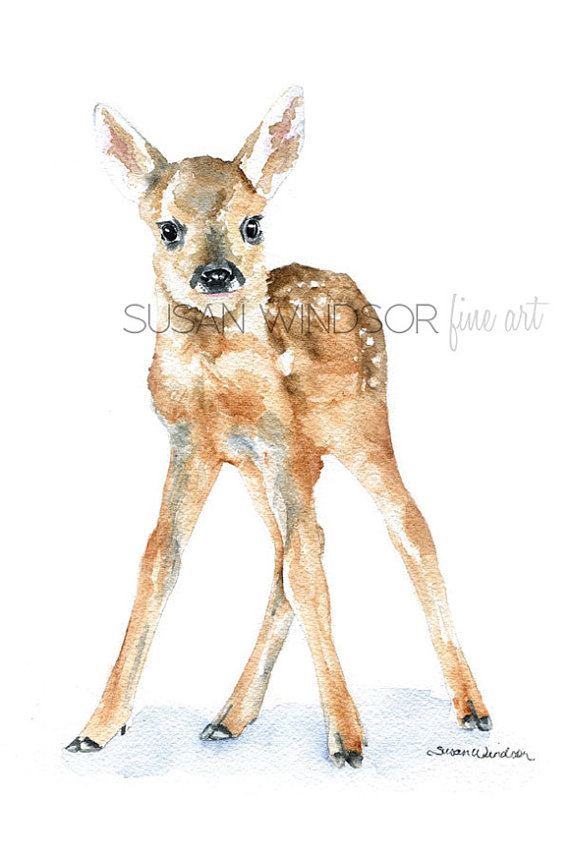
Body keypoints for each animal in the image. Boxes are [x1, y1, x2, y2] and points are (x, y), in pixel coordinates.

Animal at [65, 87, 491, 767]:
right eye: (167, 227)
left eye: (252, 223)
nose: (218, 275)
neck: (220, 388)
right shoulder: (193, 447)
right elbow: (161, 559)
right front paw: (97, 728)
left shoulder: (280, 442)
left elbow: (306, 572)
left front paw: (347, 740)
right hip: (265, 468)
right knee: (293, 550)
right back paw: (228, 719)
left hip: (358, 429)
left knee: (405, 529)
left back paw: (472, 708)